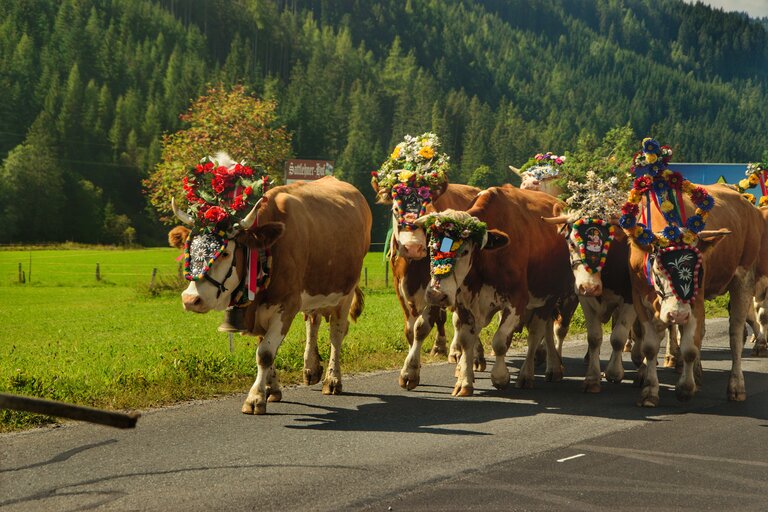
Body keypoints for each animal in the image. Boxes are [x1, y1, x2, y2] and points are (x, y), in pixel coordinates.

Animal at [169, 153, 372, 416]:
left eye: (225, 253)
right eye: (189, 249)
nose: (191, 299)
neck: (268, 251)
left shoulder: (287, 304)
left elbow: (265, 353)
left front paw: (255, 397)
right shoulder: (258, 306)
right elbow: (266, 346)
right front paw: (271, 389)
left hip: (345, 291)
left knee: (336, 333)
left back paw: (332, 380)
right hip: (316, 288)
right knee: (313, 321)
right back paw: (311, 368)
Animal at [416, 185, 572, 396]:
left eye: (465, 251)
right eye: (432, 248)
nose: (436, 294)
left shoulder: (517, 301)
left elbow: (499, 341)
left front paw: (500, 377)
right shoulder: (465, 303)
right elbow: (466, 341)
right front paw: (465, 381)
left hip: (549, 297)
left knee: (536, 333)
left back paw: (530, 374)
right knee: (545, 330)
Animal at [616, 138, 768, 406]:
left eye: (696, 269)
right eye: (658, 270)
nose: (677, 314)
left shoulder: (695, 297)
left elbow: (689, 347)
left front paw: (685, 387)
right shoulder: (640, 295)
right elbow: (650, 347)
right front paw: (650, 390)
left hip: (744, 277)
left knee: (736, 333)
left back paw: (736, 386)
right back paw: (697, 372)